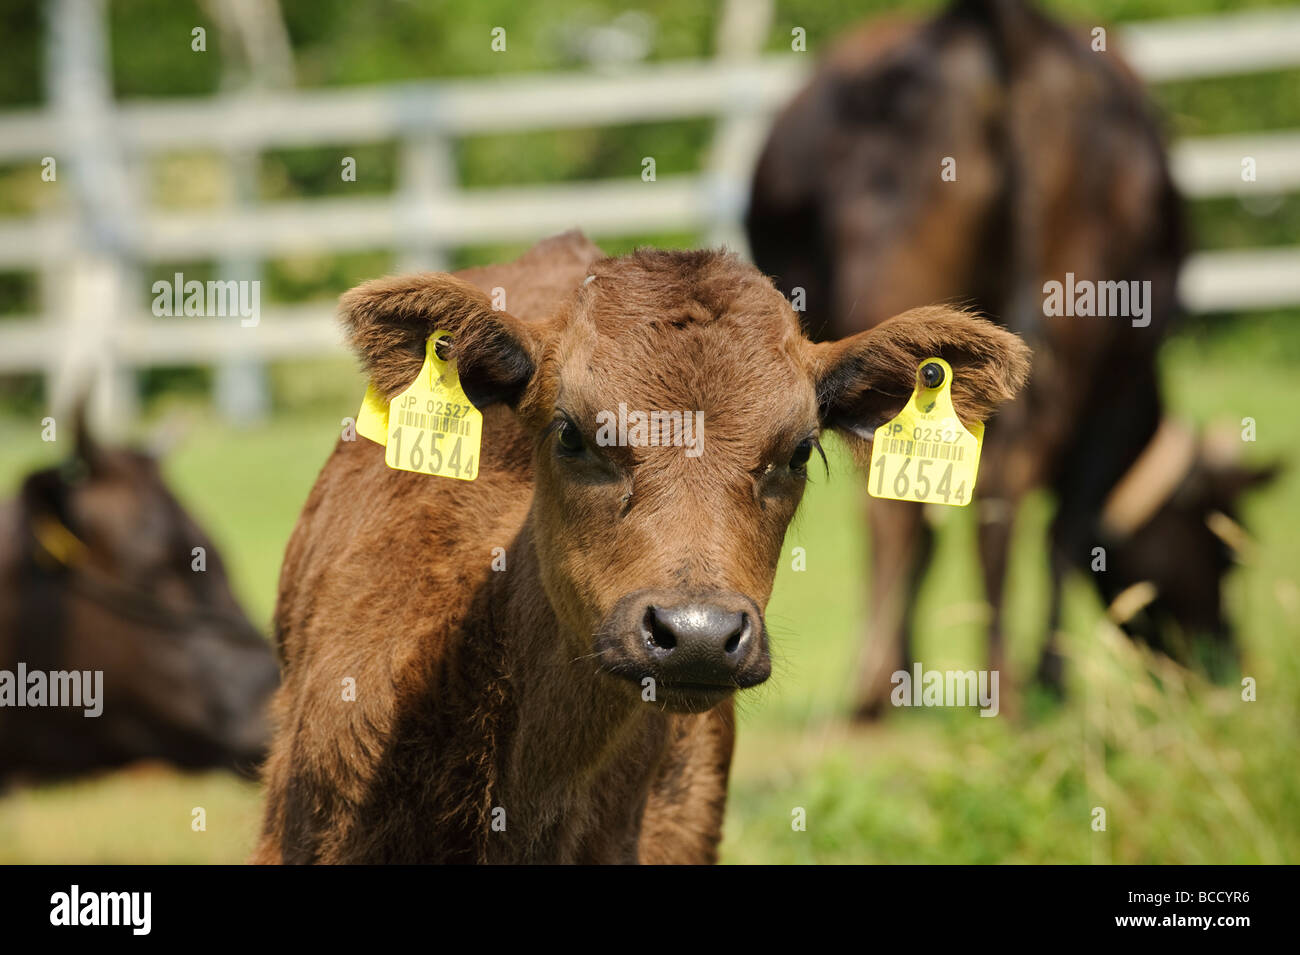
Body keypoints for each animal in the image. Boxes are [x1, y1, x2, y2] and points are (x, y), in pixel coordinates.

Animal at [746, 0, 1277, 717]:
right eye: (1224, 551)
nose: (1220, 663)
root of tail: (996, 22)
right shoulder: (1118, 380)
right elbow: (1070, 531)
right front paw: (1053, 675)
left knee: (910, 502)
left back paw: (892, 687)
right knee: (1001, 492)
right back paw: (991, 684)